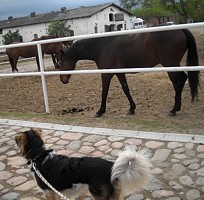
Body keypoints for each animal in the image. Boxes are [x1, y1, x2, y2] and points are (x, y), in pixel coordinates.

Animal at [57, 29, 199, 117]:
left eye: (61, 63)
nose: (63, 80)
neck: (101, 47)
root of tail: (181, 30)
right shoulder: (119, 73)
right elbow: (126, 89)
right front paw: (131, 109)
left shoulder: (106, 74)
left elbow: (104, 92)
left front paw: (100, 111)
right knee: (182, 80)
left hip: (170, 65)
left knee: (179, 82)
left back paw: (174, 109)